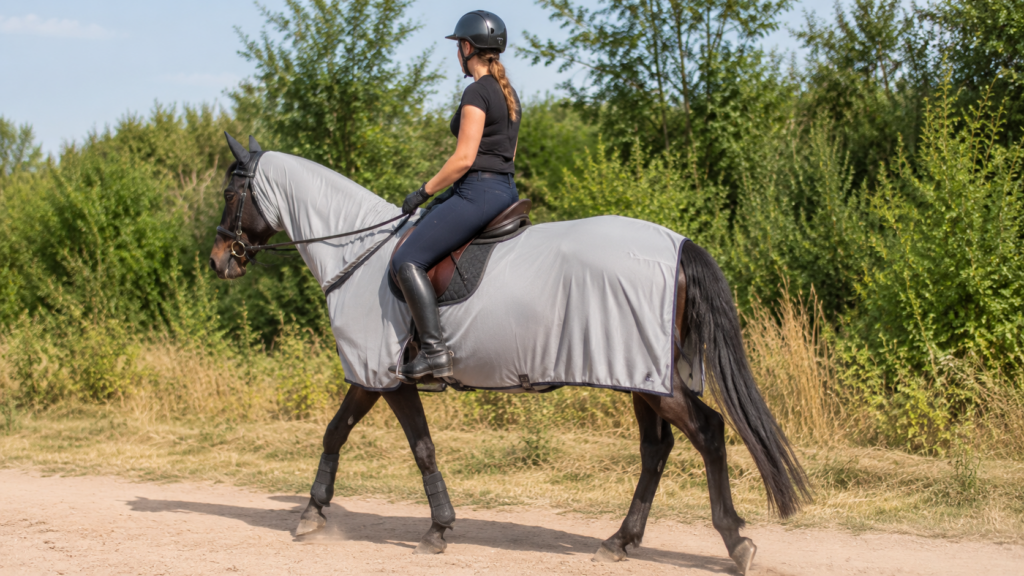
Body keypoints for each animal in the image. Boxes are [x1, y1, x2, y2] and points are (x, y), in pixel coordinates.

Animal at [208, 134, 810, 574]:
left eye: (231, 193)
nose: (219, 261)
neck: (356, 251)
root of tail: (677, 245)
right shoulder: (383, 378)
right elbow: (375, 438)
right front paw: (432, 525)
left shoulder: (381, 375)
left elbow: (369, 438)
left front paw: (323, 515)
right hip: (641, 376)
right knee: (656, 449)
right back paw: (620, 541)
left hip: (651, 378)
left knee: (706, 431)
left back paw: (735, 543)